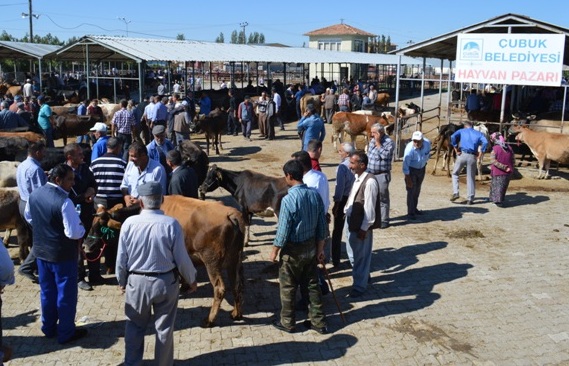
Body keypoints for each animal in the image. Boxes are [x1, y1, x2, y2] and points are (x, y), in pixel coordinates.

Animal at [84, 196, 244, 328]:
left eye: (100, 225)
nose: (85, 246)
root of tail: (230, 214)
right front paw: (184, 286)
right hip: (234, 259)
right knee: (236, 284)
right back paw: (236, 314)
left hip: (212, 262)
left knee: (220, 288)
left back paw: (209, 320)